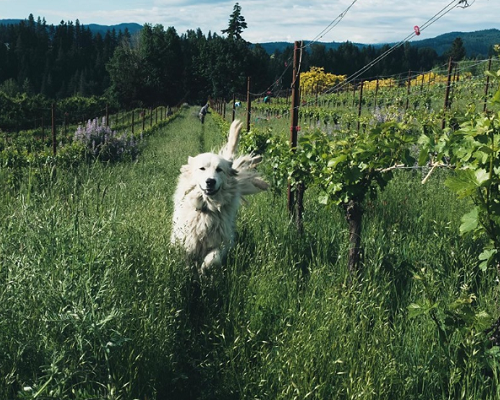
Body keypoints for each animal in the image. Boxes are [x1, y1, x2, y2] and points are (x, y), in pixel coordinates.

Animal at [170, 120, 268, 274]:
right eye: (202, 168)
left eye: (219, 170)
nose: (210, 181)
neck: (207, 208)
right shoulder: (184, 239)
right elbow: (186, 258)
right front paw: (188, 272)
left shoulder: (223, 241)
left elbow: (213, 259)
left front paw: (203, 270)